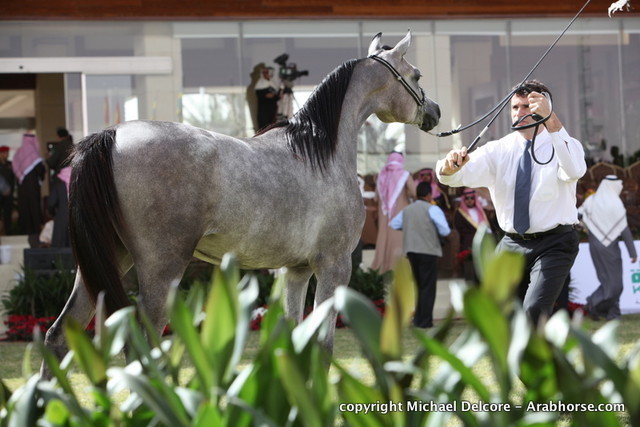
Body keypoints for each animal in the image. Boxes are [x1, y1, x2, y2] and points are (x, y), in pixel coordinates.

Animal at [42, 31, 440, 374]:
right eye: (417, 74)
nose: (434, 111)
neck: (319, 150)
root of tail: (112, 135)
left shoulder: (297, 271)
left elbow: (294, 340)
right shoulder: (334, 266)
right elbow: (323, 347)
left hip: (104, 263)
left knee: (60, 333)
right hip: (161, 270)